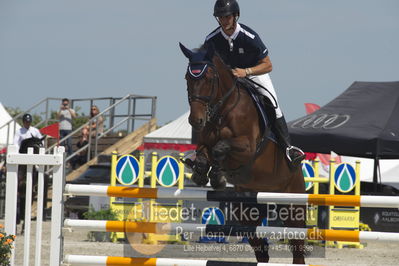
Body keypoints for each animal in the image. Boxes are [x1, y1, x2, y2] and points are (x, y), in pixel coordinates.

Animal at [180, 43, 308, 264]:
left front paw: (217, 177)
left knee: (297, 247)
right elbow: (204, 154)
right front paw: (200, 174)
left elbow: (221, 147)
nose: (196, 120)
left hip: (293, 206)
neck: (223, 110)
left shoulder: (248, 148)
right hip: (247, 211)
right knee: (259, 247)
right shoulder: (204, 143)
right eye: (187, 78)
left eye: (209, 79)